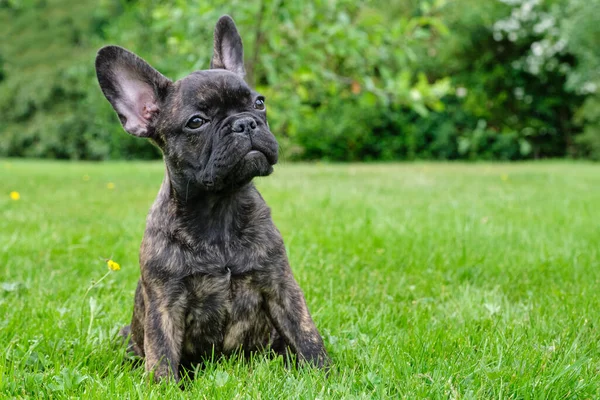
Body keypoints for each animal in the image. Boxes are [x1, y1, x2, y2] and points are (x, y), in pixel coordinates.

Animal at [94, 14, 328, 382]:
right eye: (197, 122)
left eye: (258, 102)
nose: (244, 123)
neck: (220, 207)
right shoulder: (165, 302)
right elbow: (161, 352)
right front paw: (163, 387)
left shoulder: (281, 284)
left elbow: (305, 332)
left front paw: (325, 375)